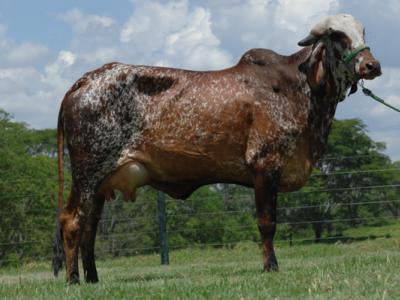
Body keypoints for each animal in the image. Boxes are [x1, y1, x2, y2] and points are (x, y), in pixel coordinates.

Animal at [52, 13, 382, 284]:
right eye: (337, 35)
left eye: (364, 32)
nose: (372, 65)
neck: (302, 86)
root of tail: (83, 82)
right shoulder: (265, 165)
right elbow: (267, 223)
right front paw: (271, 267)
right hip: (87, 173)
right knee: (72, 221)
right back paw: (73, 280)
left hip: (100, 182)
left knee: (90, 228)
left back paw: (93, 278)